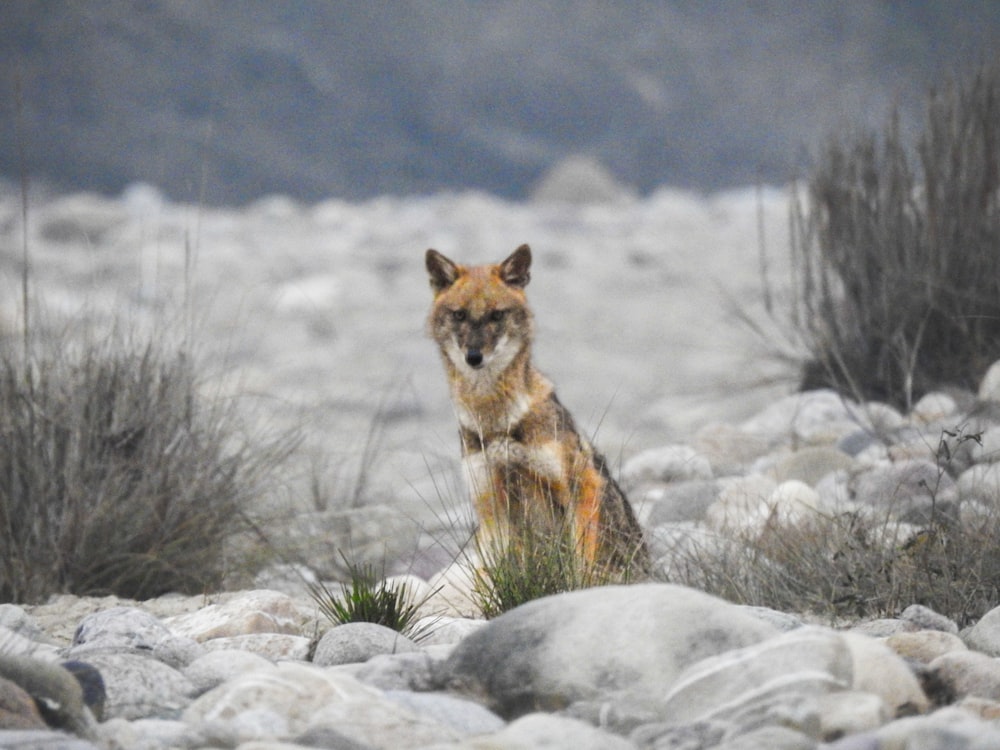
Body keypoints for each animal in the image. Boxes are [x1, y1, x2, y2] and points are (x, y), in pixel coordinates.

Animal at [424, 244, 648, 572]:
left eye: (496, 315)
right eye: (459, 315)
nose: (474, 357)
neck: (497, 420)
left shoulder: (582, 485)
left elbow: (580, 563)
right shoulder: (490, 503)